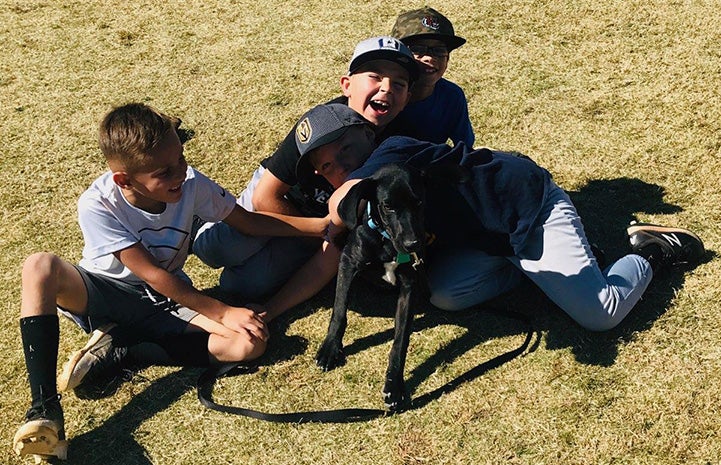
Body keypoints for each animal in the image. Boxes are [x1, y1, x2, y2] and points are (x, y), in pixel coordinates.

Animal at [314, 164, 428, 410]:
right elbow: (339, 310)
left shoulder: (409, 285)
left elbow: (400, 340)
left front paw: (394, 385)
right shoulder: (348, 261)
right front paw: (330, 348)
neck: (387, 242)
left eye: (419, 202)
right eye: (387, 205)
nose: (413, 244)